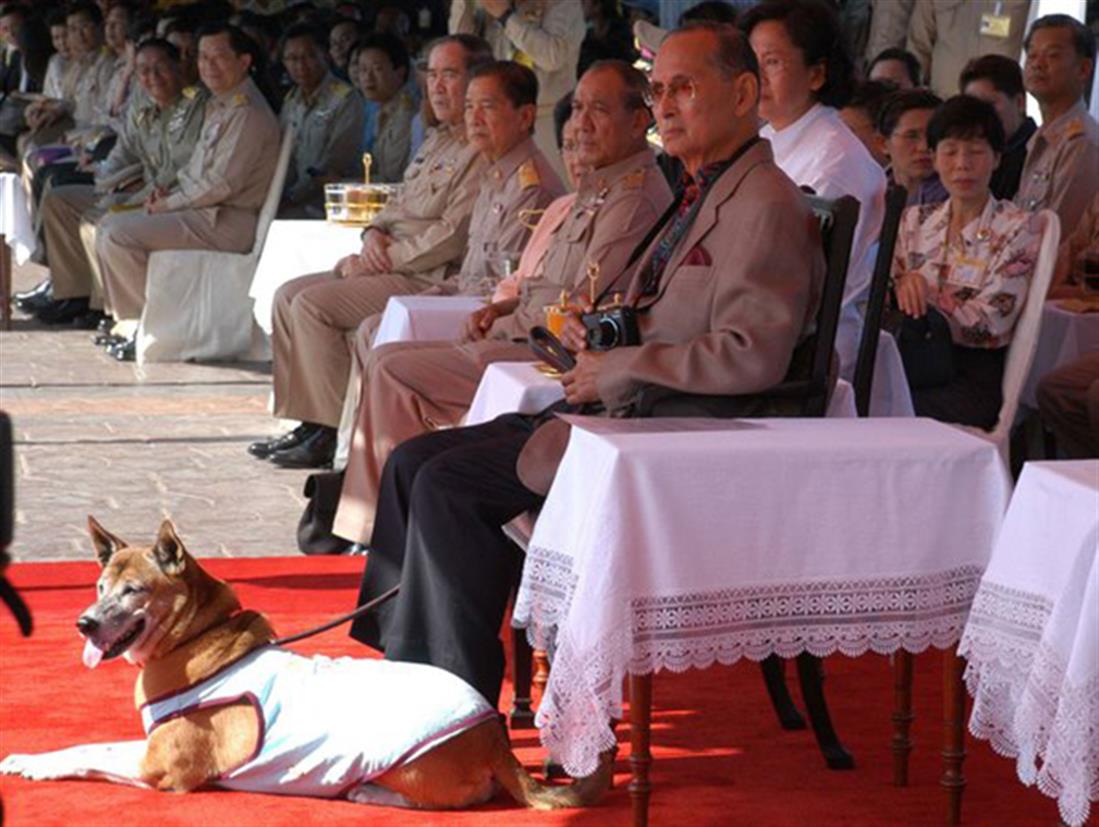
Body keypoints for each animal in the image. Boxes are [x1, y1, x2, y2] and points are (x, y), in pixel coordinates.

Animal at [0, 516, 611, 808]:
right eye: (100, 586)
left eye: (134, 591)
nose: (84, 623)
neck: (196, 637)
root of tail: (494, 738)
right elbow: (92, 744)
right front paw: (31, 757)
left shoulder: (161, 767)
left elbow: (91, 751)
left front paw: (36, 765)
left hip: (404, 760)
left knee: (465, 797)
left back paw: (369, 792)